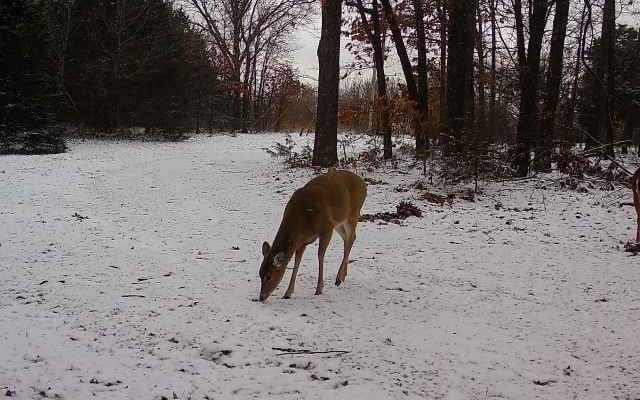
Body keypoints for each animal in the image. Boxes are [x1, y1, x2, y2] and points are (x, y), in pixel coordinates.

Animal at [258, 169, 367, 302]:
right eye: (260, 274)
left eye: (269, 276)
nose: (261, 297)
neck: (303, 220)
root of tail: (363, 183)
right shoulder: (301, 241)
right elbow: (297, 262)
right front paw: (288, 292)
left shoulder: (327, 228)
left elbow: (320, 255)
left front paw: (319, 289)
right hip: (339, 222)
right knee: (347, 238)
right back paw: (343, 276)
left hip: (353, 213)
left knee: (351, 238)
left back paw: (338, 278)